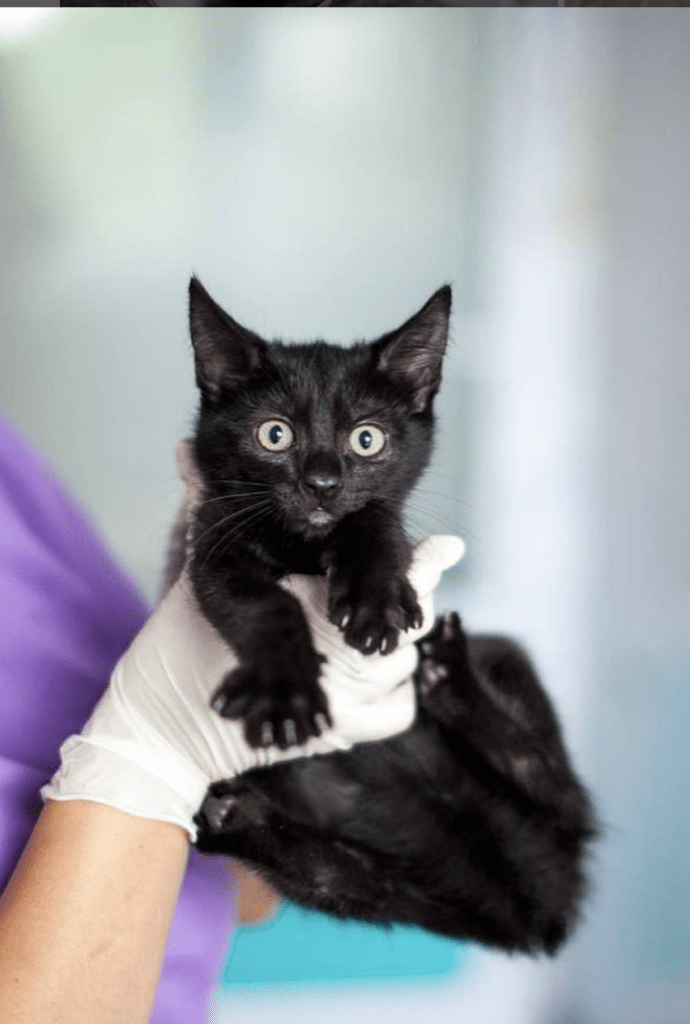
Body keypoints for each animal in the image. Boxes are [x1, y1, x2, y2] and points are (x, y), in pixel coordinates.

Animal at [185, 280, 593, 950]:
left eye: (366, 439)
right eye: (275, 435)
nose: (322, 483)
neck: (305, 547)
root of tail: (530, 910)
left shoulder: (384, 520)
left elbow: (375, 518)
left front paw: (373, 598)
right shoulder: (214, 548)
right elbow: (267, 603)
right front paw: (283, 691)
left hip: (508, 664)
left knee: (554, 785)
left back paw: (449, 673)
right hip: (367, 889)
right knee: (328, 872)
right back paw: (230, 816)